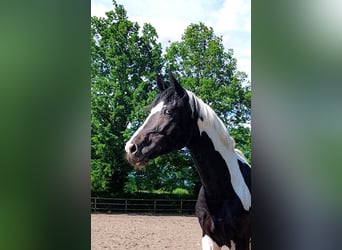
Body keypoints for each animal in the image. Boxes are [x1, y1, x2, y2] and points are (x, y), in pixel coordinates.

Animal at [125, 73, 251, 250]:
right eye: (150, 111)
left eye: (168, 111)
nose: (131, 148)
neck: (222, 192)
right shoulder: (209, 238)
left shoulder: (241, 240)